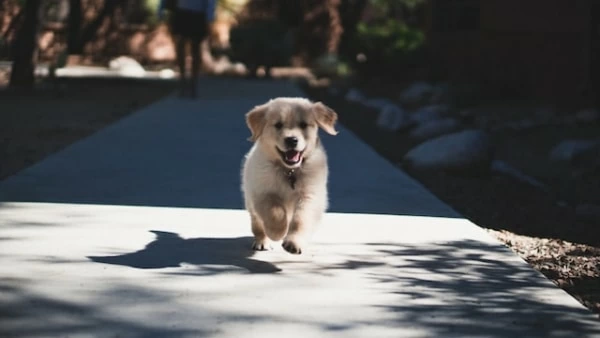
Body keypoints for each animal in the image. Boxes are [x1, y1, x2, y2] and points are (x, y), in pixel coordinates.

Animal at [243, 97, 338, 254]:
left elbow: (301, 219)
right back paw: (262, 241)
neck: (289, 170)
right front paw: (277, 232)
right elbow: (275, 212)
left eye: (303, 125)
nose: (292, 140)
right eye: (278, 125)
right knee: (257, 224)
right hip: (250, 201)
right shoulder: (262, 192)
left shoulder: (310, 195)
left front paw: (294, 242)